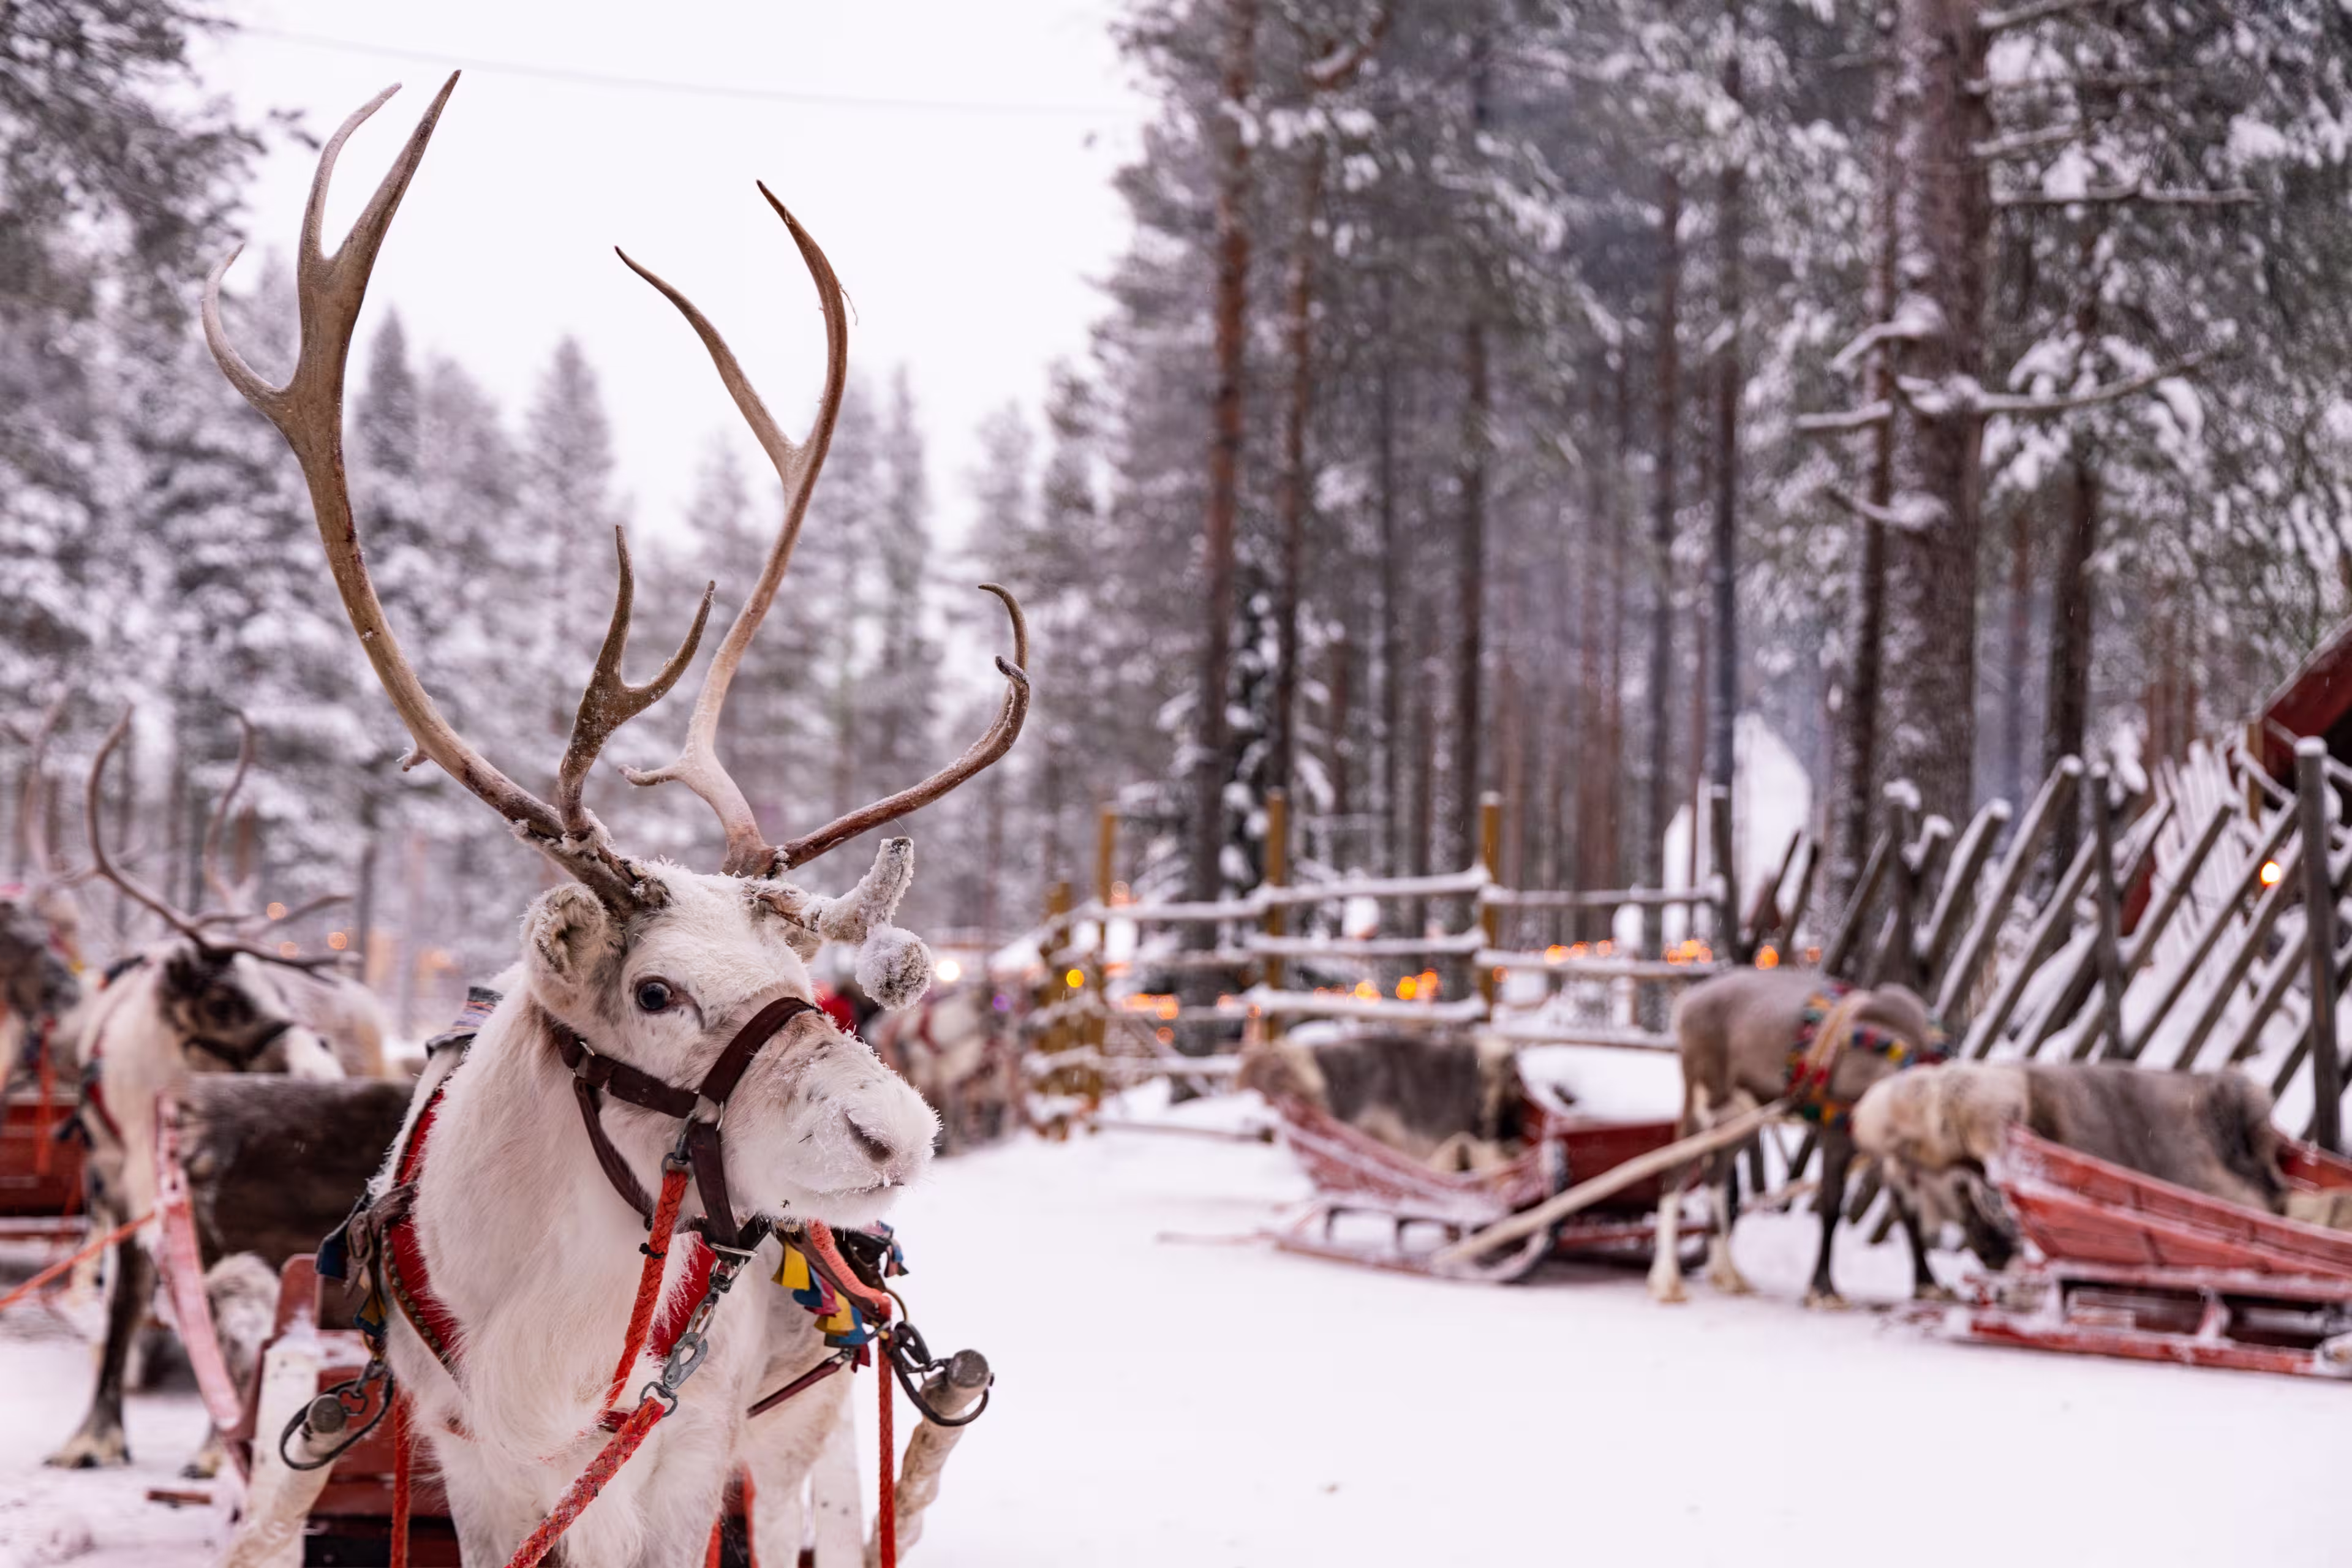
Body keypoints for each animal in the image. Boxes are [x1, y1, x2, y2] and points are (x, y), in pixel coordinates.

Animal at [201, 74, 1027, 1566]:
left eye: (803, 975)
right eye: (654, 991)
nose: (902, 1134)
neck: (557, 1338)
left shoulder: (685, 1451)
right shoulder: (476, 1463)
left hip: (811, 1426)